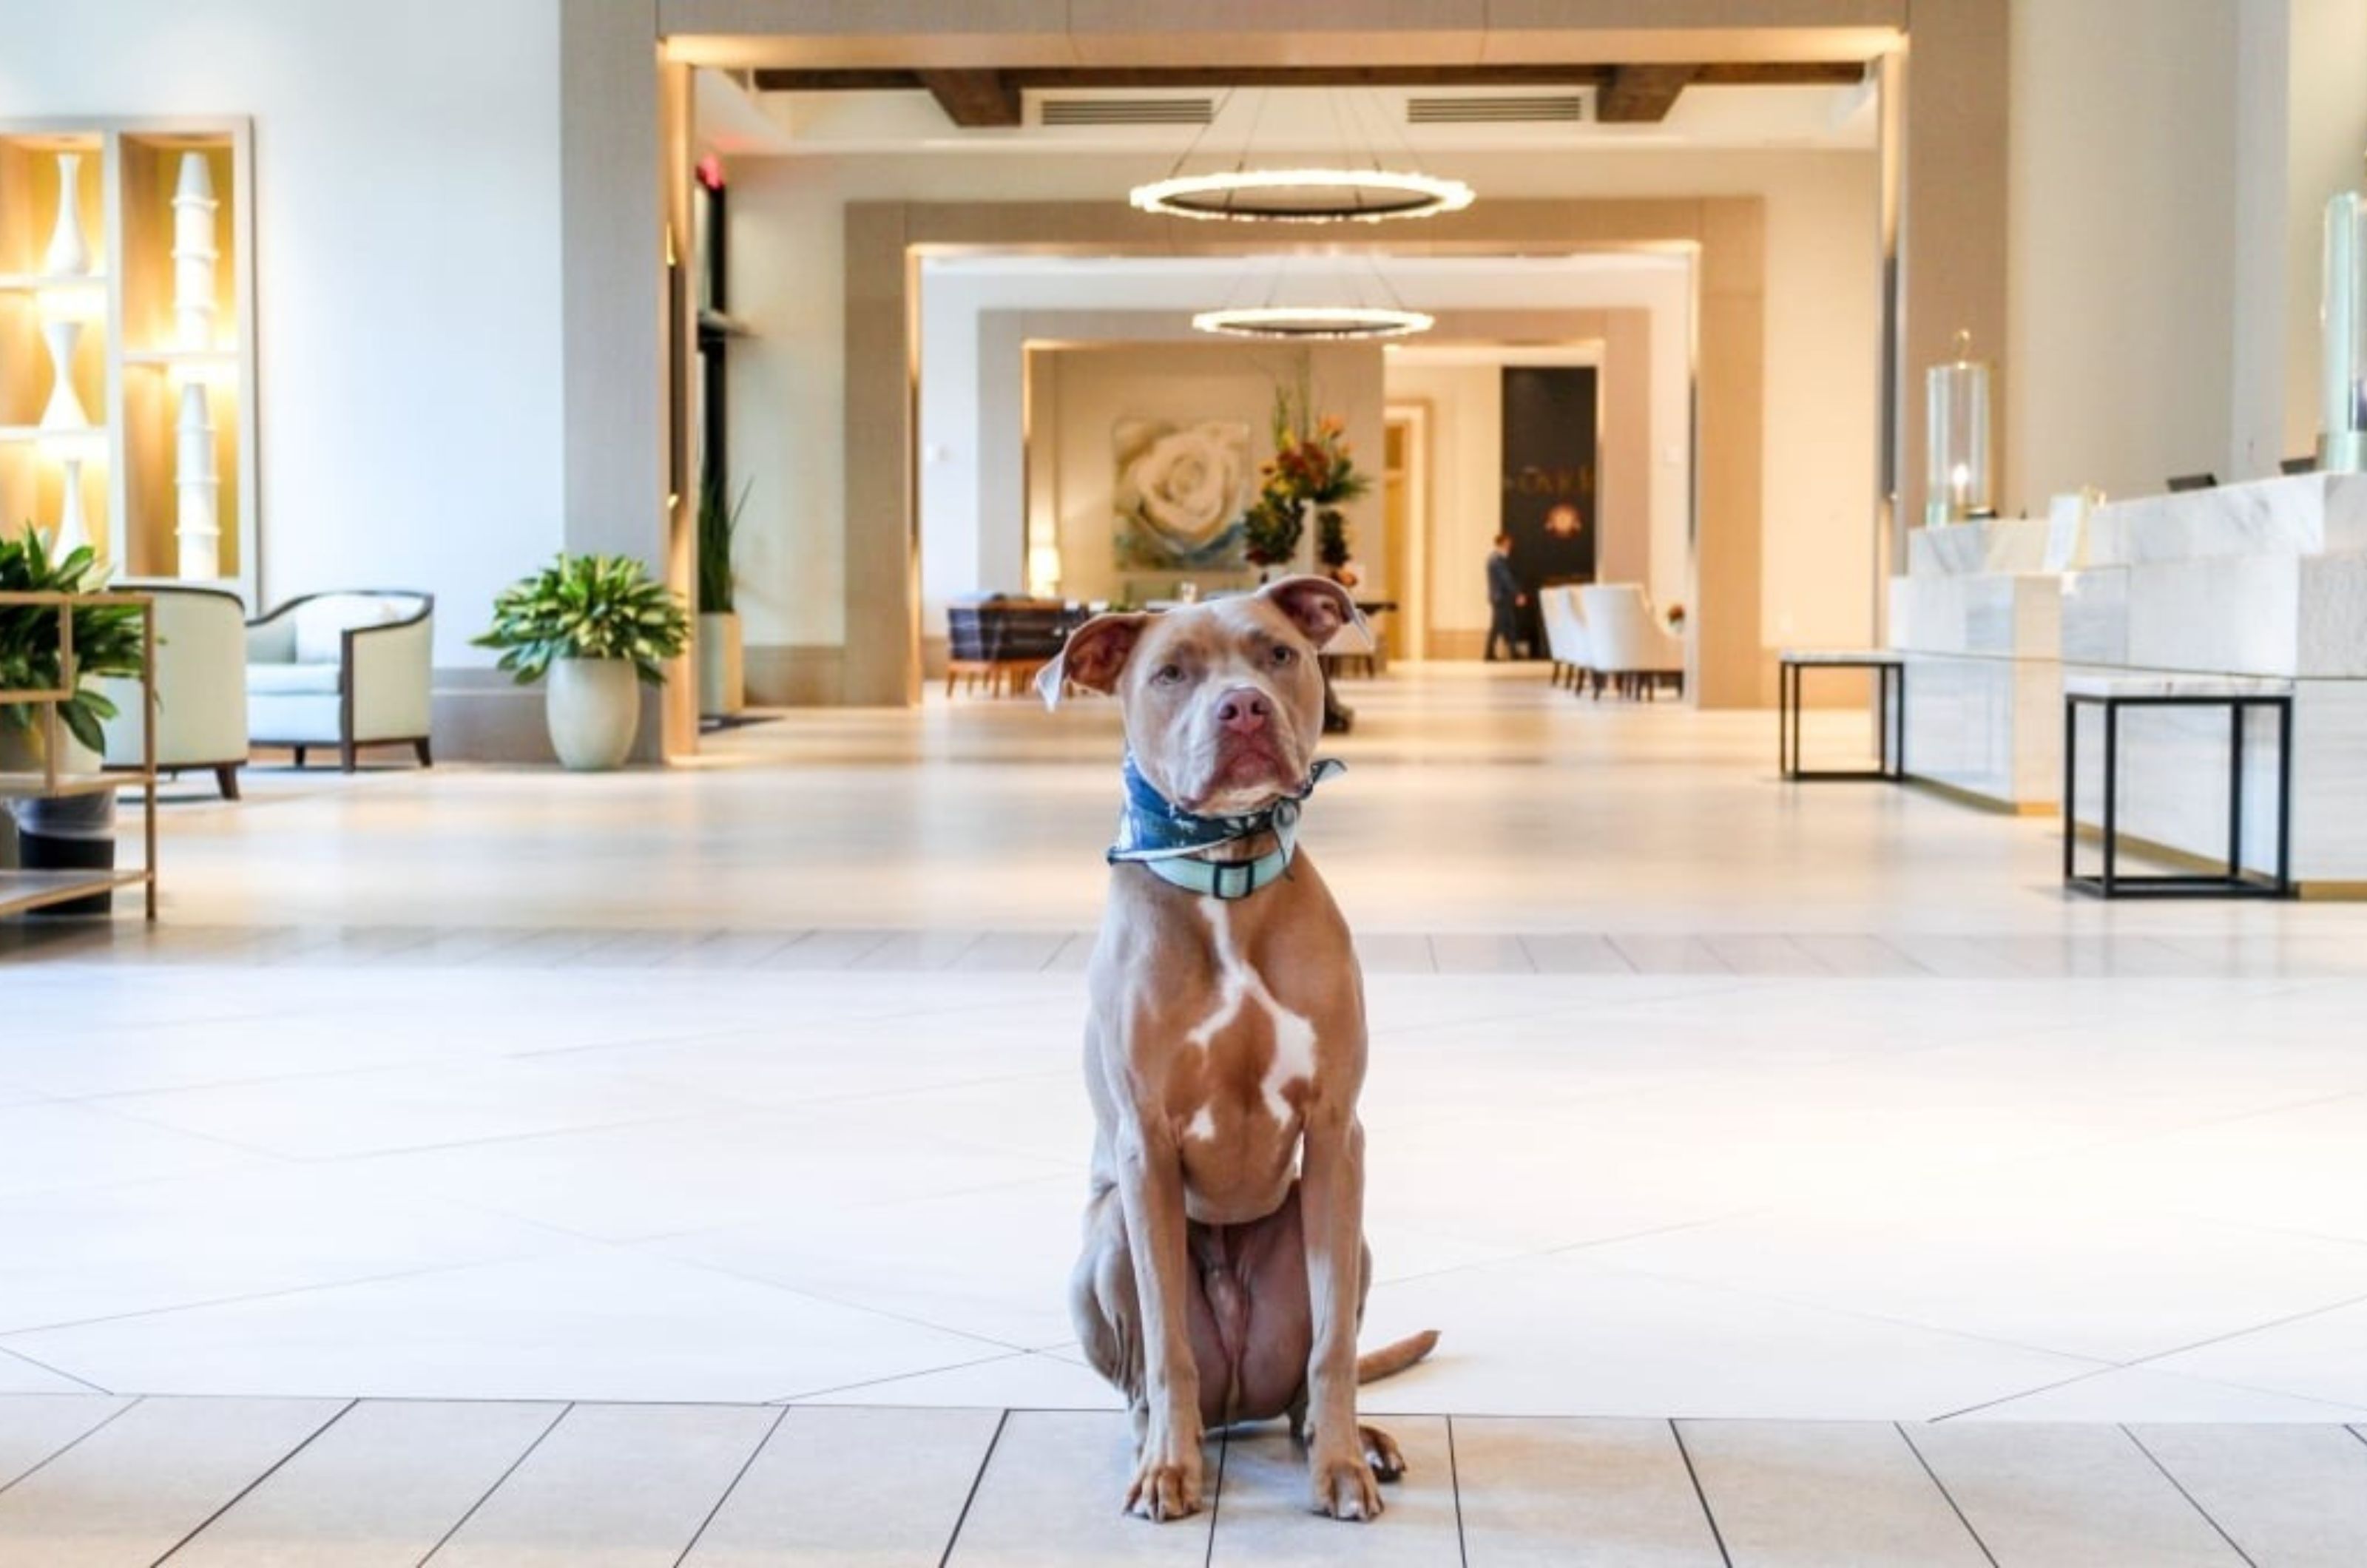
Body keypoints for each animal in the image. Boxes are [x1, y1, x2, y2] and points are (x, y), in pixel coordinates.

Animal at [1041, 578, 1439, 1525]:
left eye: (1277, 654)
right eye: (1170, 673)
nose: (1243, 706)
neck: (1224, 871)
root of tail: (1236, 1407)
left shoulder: (1334, 1132)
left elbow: (1331, 1347)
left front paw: (1340, 1466)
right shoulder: (1146, 1146)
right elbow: (1165, 1345)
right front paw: (1166, 1472)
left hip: (1336, 1231)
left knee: (1308, 1377)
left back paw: (1351, 1438)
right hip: (1105, 1238)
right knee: (1150, 1375)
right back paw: (1159, 1440)